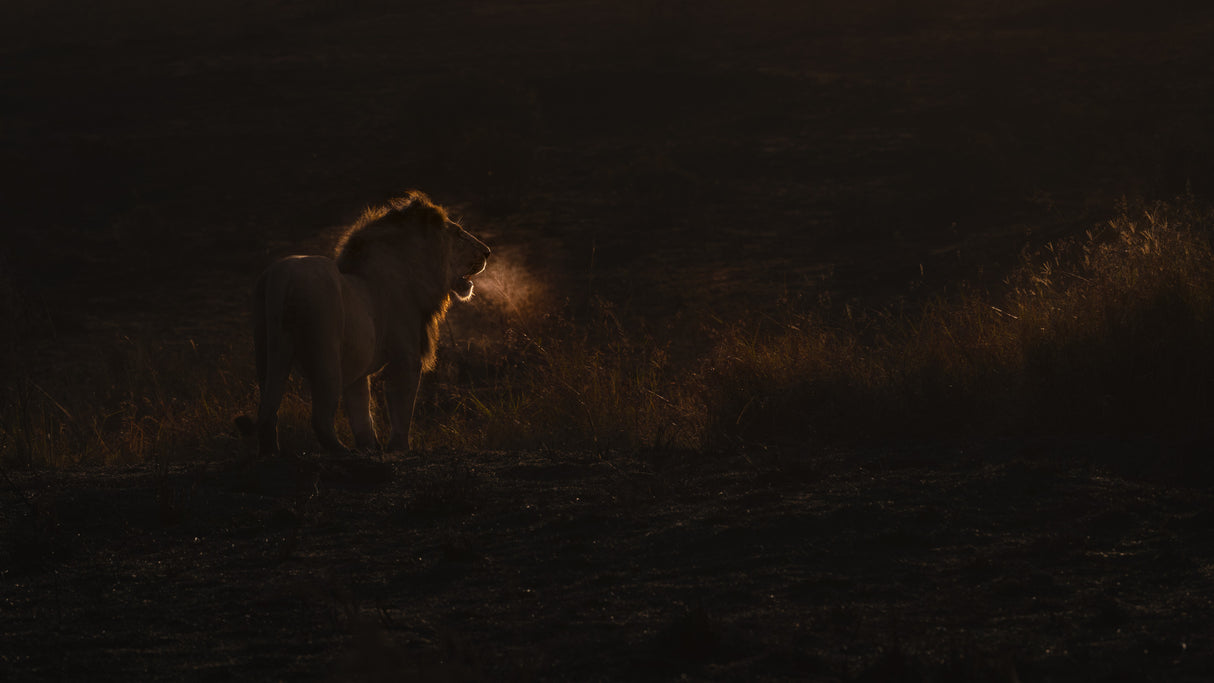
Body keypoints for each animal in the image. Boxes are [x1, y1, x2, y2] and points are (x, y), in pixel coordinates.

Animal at [236, 191, 489, 456]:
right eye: (458, 232)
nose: (488, 252)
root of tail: (282, 277)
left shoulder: (357, 370)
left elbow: (361, 413)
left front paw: (371, 447)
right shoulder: (406, 357)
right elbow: (401, 408)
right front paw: (398, 448)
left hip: (268, 350)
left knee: (268, 411)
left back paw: (271, 453)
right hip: (325, 354)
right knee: (320, 418)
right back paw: (342, 452)